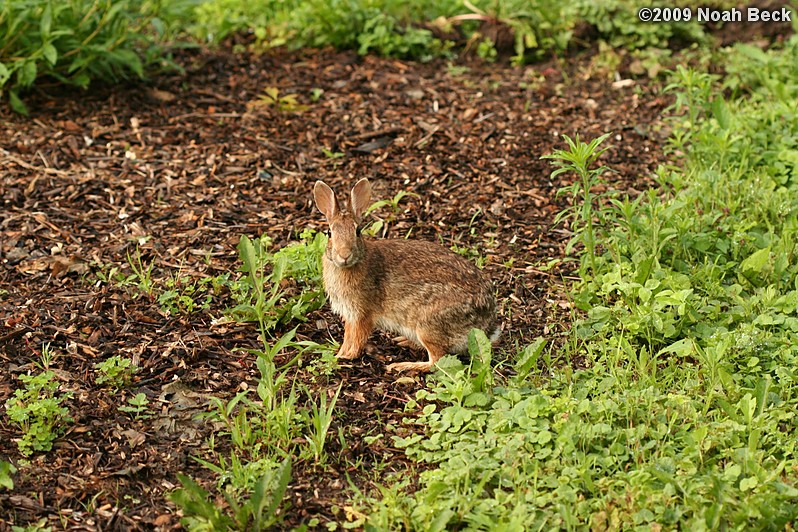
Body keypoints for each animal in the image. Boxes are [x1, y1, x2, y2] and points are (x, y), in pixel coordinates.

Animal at [312, 179, 500, 374]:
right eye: (329, 233)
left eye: (357, 231)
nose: (344, 255)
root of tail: (487, 323)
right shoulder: (350, 315)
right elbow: (348, 336)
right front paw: (341, 352)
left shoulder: (362, 314)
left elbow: (357, 339)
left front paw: (344, 357)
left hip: (428, 326)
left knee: (436, 361)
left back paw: (401, 365)